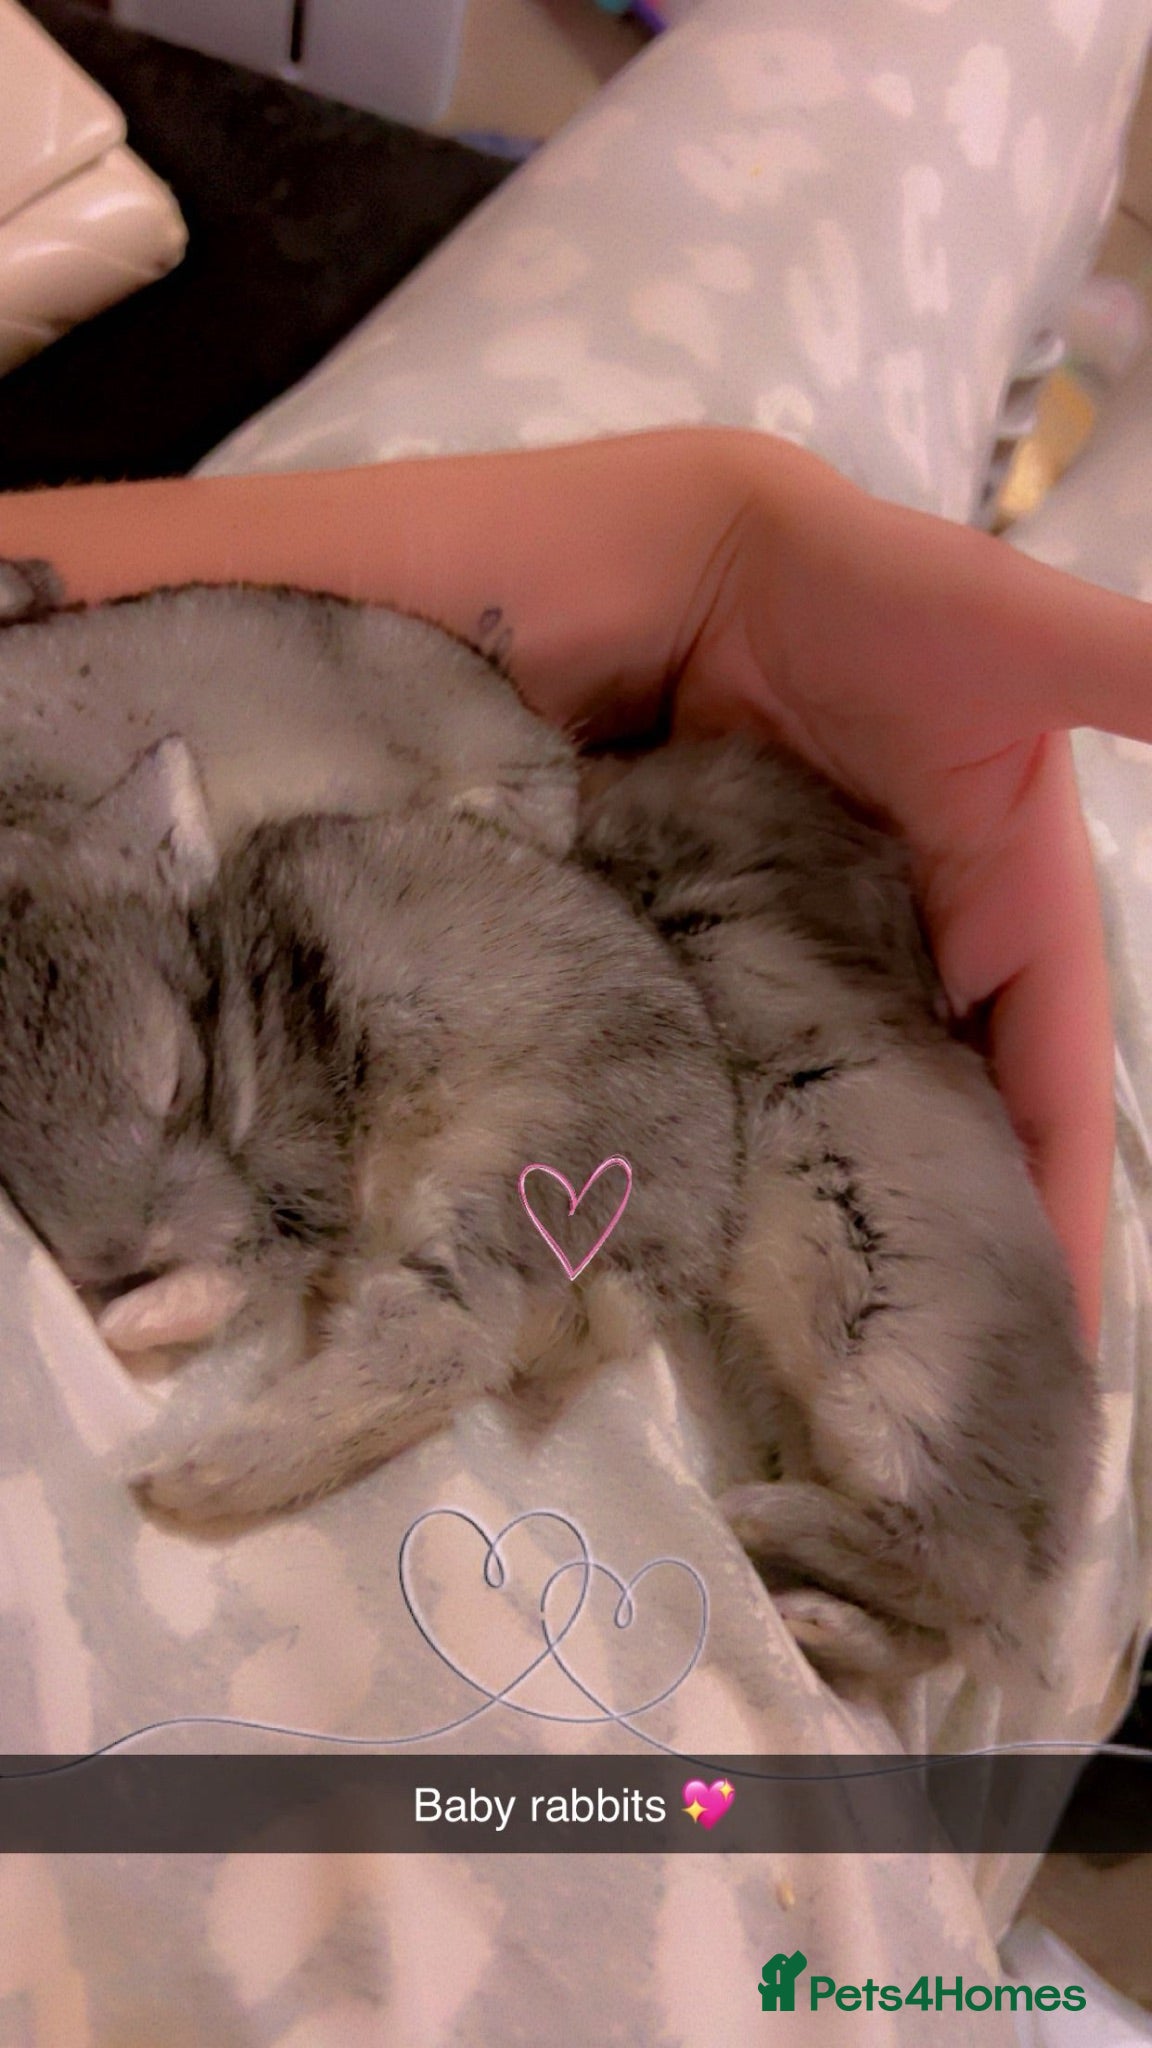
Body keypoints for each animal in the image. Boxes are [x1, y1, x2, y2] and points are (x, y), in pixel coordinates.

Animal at [578, 738, 1099, 1675]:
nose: (596, 758)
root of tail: (1038, 1561)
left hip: (895, 1412)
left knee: (937, 1576)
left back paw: (753, 1518)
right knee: (919, 1637)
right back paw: (809, 1618)